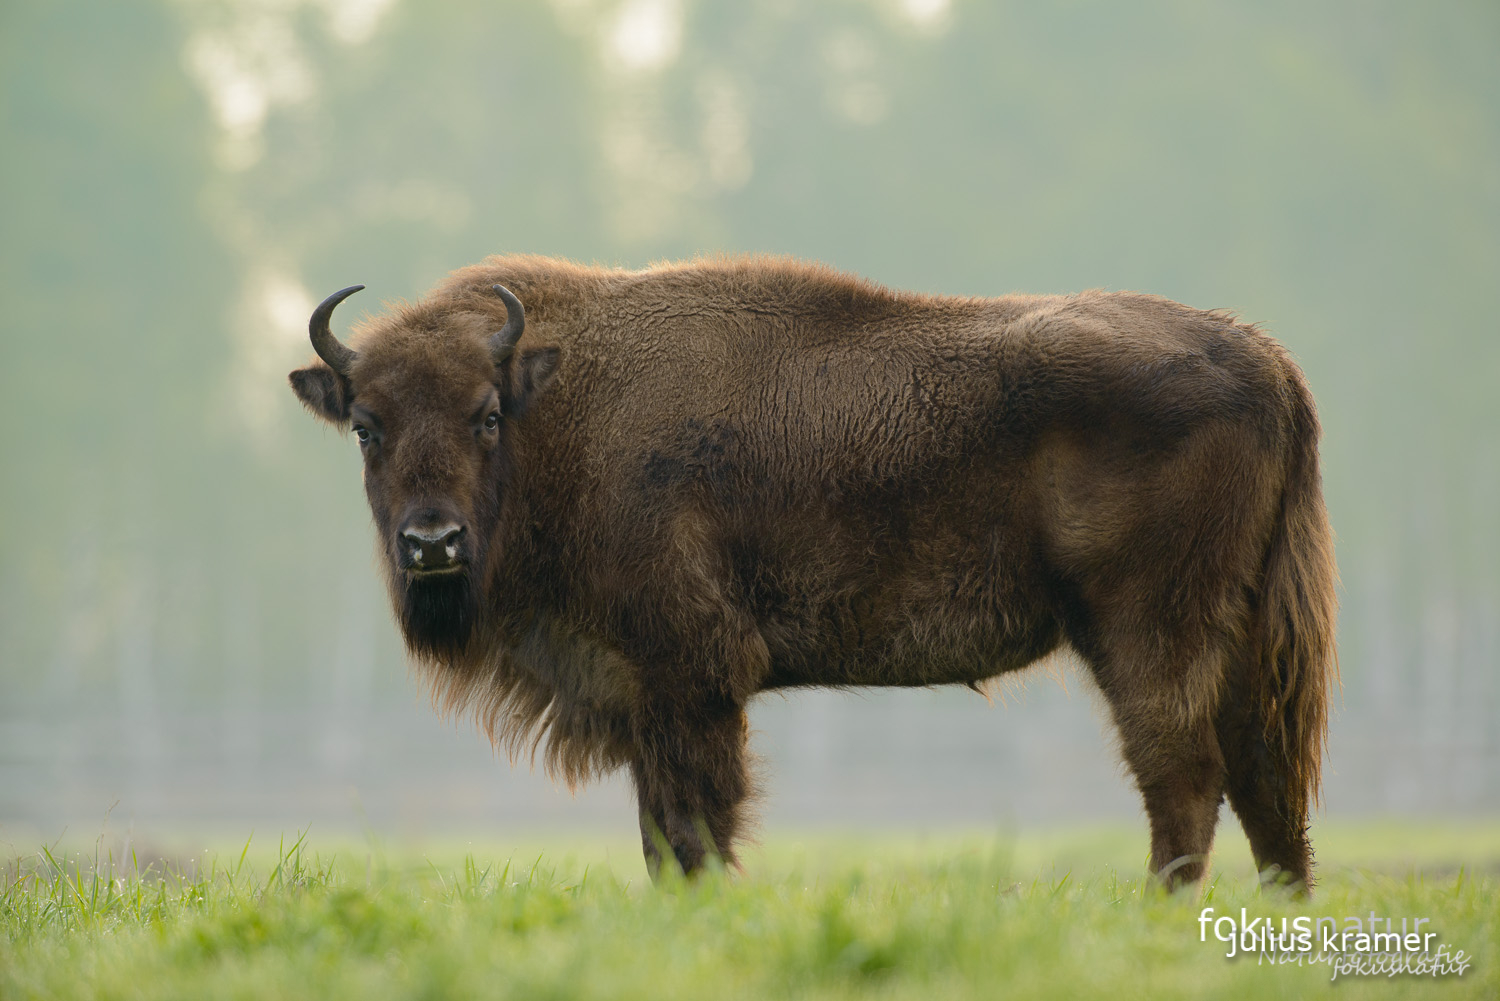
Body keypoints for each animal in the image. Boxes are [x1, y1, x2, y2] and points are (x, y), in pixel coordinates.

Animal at [292, 255, 1338, 888]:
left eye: (485, 414)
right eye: (366, 425)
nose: (432, 542)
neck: (561, 412)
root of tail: (1269, 359)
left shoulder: (687, 683)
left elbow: (693, 831)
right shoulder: (646, 697)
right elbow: (661, 835)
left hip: (1148, 636)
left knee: (1185, 779)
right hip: (1241, 634)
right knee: (1266, 779)